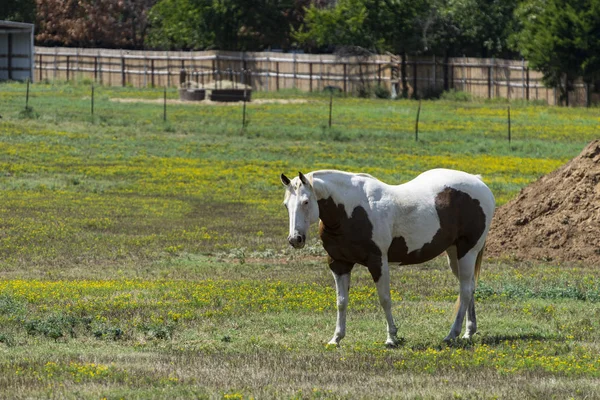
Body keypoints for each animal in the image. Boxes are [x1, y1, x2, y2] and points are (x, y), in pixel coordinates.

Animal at [282, 169, 496, 346]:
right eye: (286, 205)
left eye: (305, 202)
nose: (295, 239)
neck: (351, 210)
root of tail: (478, 182)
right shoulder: (339, 264)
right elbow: (341, 301)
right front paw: (336, 338)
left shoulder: (378, 262)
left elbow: (384, 298)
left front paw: (391, 337)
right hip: (454, 255)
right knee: (470, 287)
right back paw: (469, 332)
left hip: (468, 251)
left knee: (465, 291)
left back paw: (452, 334)